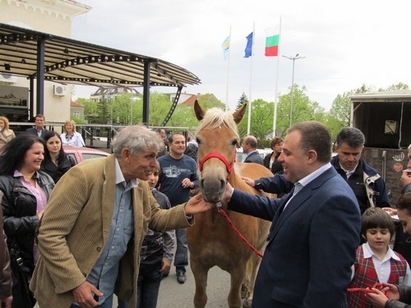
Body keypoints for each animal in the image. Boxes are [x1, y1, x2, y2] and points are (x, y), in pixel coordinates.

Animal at [188, 101, 276, 308]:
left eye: (234, 141)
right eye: (199, 140)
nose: (212, 185)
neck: (215, 223)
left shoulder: (238, 269)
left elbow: (234, 299)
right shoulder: (197, 266)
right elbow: (200, 298)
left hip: (260, 245)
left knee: (254, 265)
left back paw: (249, 293)